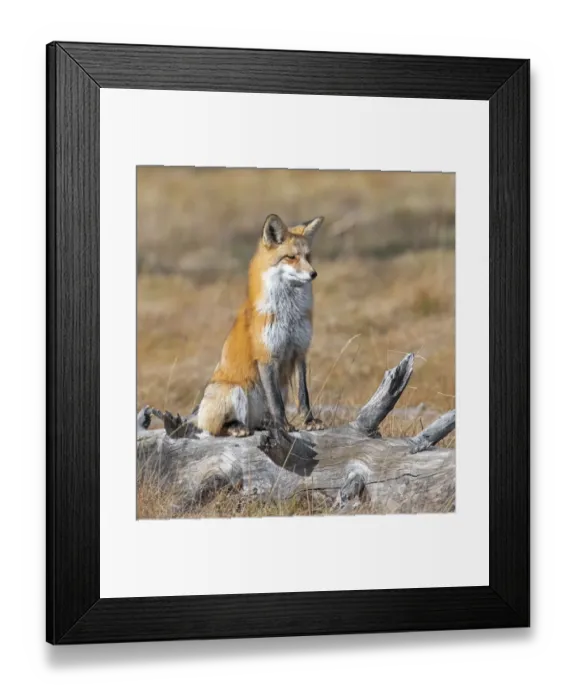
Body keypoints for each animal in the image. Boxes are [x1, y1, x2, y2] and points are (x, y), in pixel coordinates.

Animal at [196, 213, 326, 438]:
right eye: (291, 257)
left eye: (308, 257)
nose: (313, 274)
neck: (288, 315)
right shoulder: (266, 355)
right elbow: (275, 402)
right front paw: (283, 426)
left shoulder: (299, 351)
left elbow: (303, 395)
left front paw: (309, 421)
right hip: (234, 391)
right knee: (217, 428)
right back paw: (237, 427)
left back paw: (264, 425)